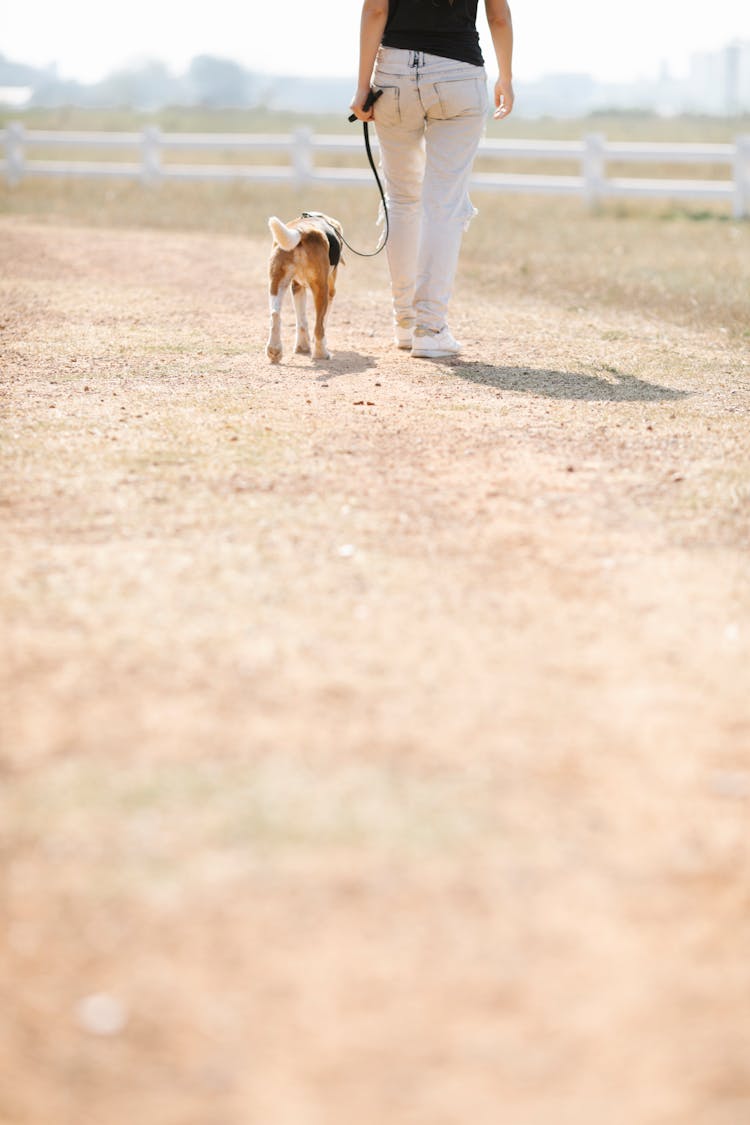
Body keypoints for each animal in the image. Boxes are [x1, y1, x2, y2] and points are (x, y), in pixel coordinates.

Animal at [265, 211, 344, 364]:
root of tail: (302, 231)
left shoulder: (297, 287)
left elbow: (302, 321)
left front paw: (302, 346)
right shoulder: (330, 291)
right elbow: (322, 322)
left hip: (277, 282)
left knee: (275, 314)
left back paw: (274, 350)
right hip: (321, 289)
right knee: (319, 327)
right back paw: (321, 353)